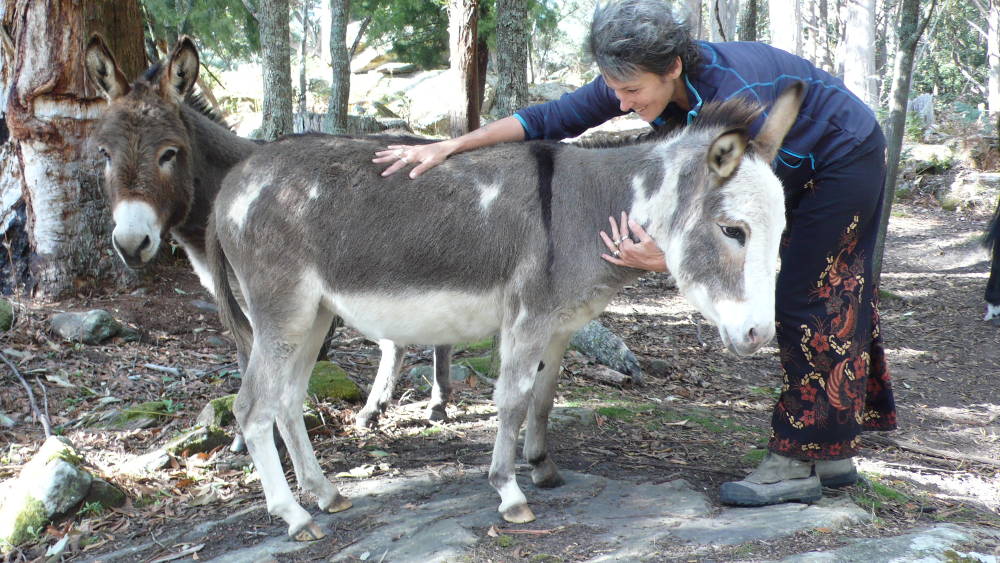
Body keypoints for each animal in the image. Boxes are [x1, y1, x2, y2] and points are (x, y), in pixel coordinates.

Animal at [83, 35, 452, 427]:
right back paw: (380, 408)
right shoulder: (240, 297)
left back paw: (434, 403)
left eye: (169, 153)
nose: (131, 244)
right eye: (105, 153)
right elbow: (250, 363)